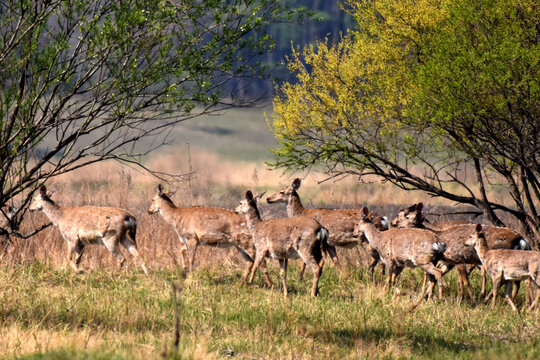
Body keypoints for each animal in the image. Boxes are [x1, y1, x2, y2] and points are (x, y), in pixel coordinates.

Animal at [390, 202, 528, 300]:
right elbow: (437, 276)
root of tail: (520, 238)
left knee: (505, 281)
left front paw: (471, 301)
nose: (393, 224)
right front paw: (427, 296)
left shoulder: (458, 258)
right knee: (518, 282)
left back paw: (487, 299)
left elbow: (465, 281)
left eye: (404, 215)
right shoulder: (448, 262)